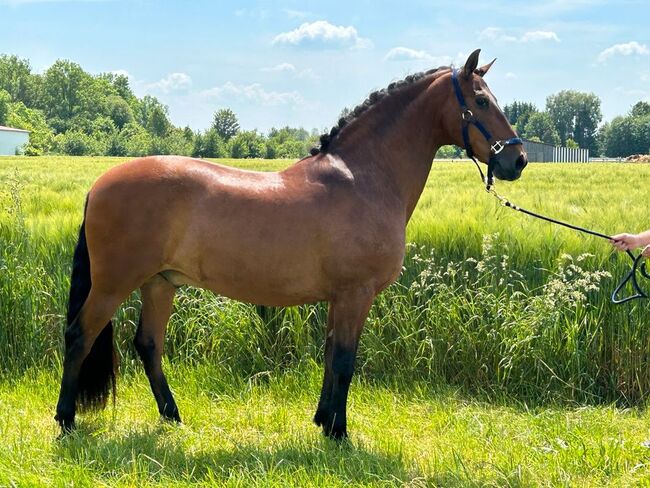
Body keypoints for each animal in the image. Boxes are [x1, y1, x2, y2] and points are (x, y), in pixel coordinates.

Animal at [54, 48, 528, 438]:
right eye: (481, 101)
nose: (517, 159)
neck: (363, 177)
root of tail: (98, 185)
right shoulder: (356, 294)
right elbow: (345, 360)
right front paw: (339, 433)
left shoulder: (340, 298)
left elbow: (331, 356)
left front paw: (323, 420)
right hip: (114, 284)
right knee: (80, 334)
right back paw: (66, 419)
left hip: (160, 283)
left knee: (148, 345)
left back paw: (172, 417)